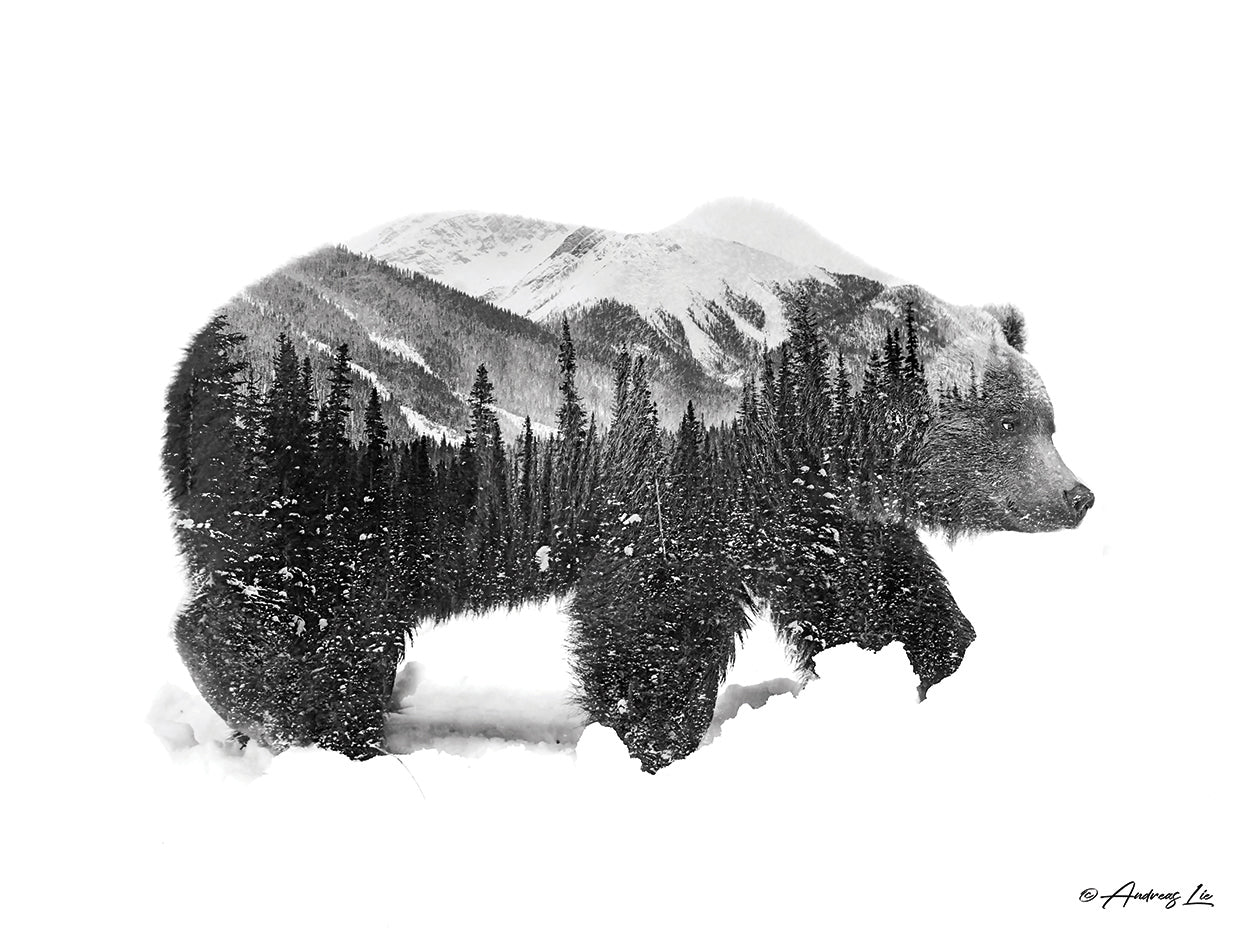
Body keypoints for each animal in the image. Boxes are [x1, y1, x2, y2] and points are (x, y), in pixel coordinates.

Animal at [164, 225, 1093, 773]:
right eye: (1009, 418)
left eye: (1048, 416)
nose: (1076, 495)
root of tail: (198, 353)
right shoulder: (679, 457)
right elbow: (656, 610)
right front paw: (653, 733)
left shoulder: (800, 498)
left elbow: (864, 593)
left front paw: (937, 664)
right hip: (340, 451)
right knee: (300, 602)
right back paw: (291, 714)